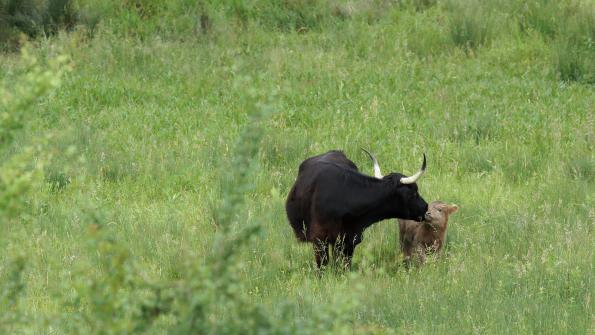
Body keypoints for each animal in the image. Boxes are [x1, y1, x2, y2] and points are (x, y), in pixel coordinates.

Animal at [286, 150, 428, 270]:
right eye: (413, 193)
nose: (426, 207)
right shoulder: (319, 239)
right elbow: (323, 266)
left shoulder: (350, 240)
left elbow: (344, 265)